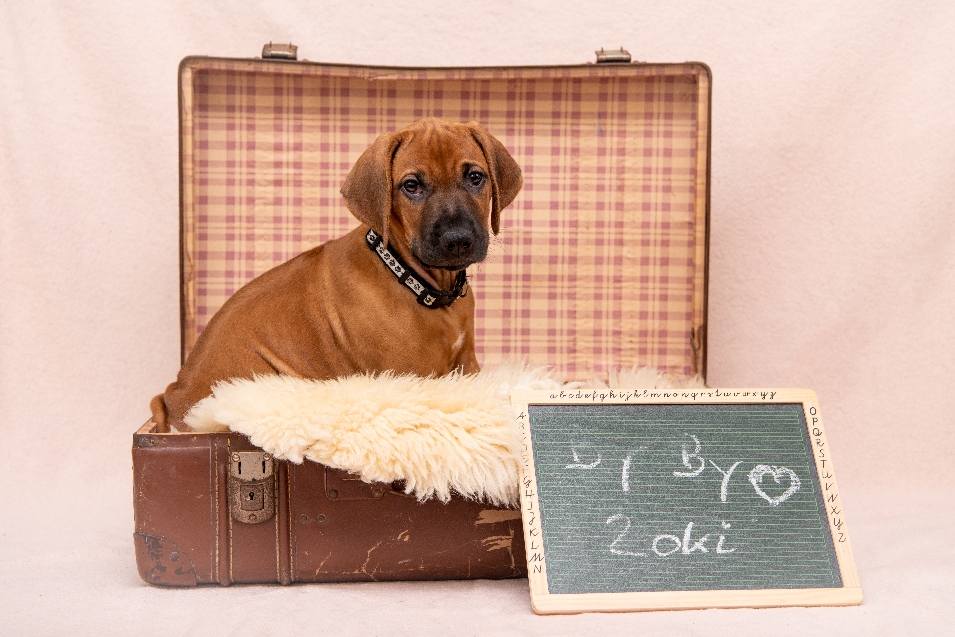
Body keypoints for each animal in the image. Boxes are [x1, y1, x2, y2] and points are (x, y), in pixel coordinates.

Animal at [151, 119, 524, 432]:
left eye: (475, 178)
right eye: (412, 186)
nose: (457, 240)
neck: (414, 280)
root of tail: (172, 399)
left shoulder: (466, 363)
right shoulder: (411, 377)